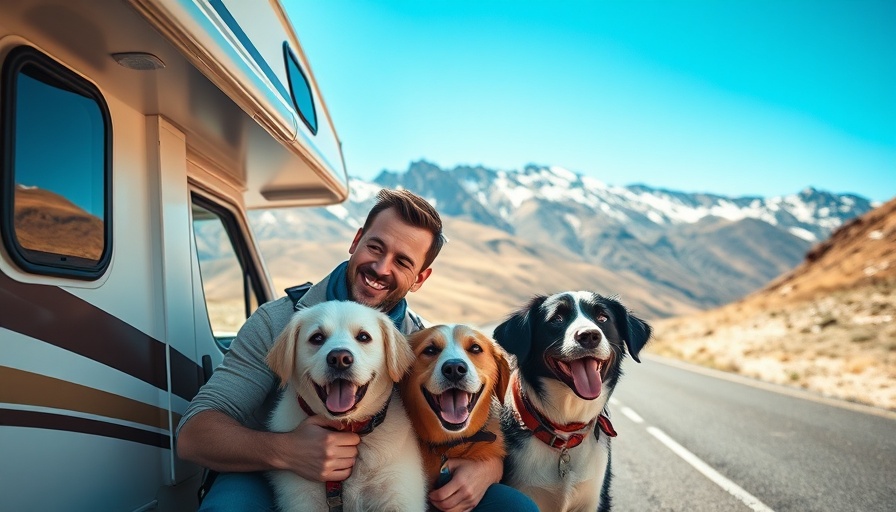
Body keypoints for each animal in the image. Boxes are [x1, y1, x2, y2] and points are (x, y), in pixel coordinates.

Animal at [264, 300, 426, 512]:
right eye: (317, 338)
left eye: (363, 337)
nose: (339, 359)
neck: (347, 428)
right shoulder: (302, 498)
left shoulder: (399, 494)